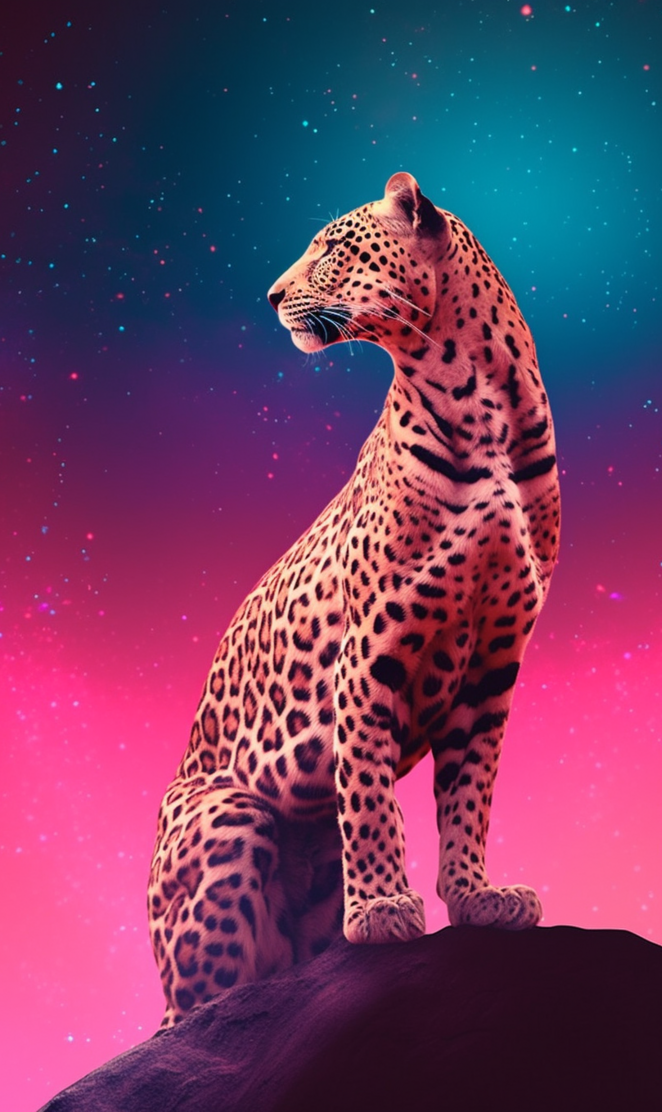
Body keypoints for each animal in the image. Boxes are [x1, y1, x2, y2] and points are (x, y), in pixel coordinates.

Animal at [148, 172, 560, 1028]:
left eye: (332, 247)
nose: (271, 295)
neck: (483, 403)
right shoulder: (371, 646)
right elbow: (369, 791)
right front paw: (379, 909)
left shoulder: (495, 663)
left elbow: (469, 792)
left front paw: (475, 896)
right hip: (229, 817)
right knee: (193, 1008)